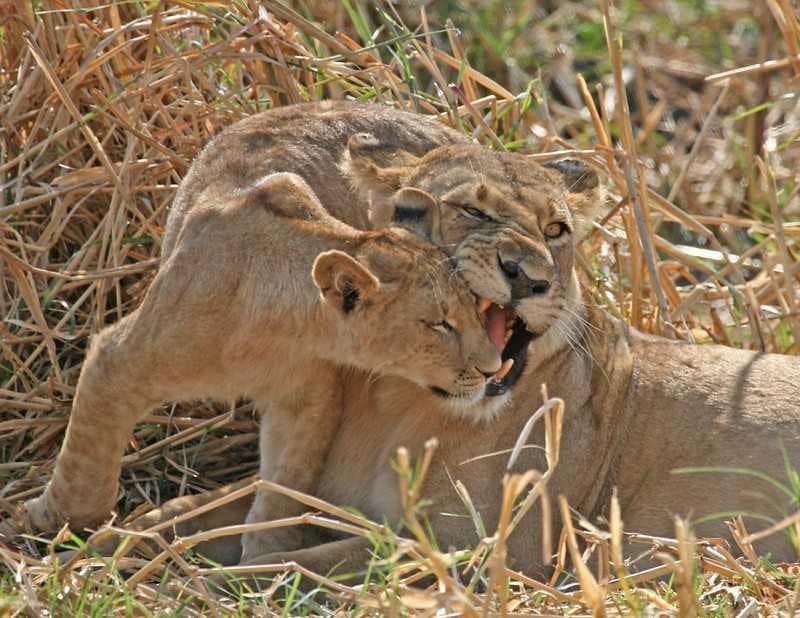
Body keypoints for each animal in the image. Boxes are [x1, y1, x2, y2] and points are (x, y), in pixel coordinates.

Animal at [11, 170, 504, 561]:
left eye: (475, 309)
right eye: (440, 324)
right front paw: (53, 521)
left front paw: (262, 557)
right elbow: (86, 463)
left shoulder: (310, 399)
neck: (276, 329)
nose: (493, 369)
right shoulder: (121, 358)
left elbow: (284, 486)